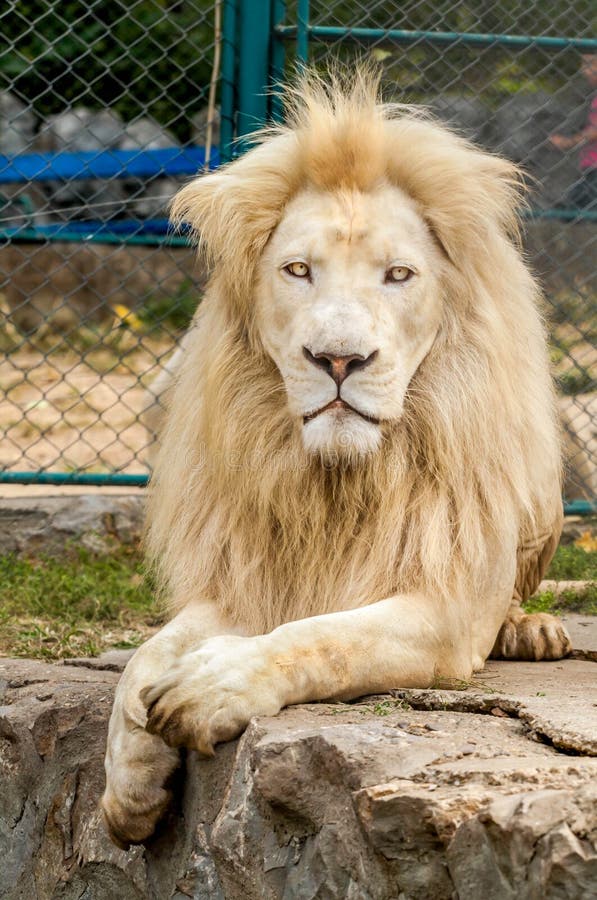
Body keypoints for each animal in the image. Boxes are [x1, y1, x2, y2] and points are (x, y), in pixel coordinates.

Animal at [102, 70, 571, 849]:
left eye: (398, 275)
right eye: (298, 270)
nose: (339, 359)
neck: (340, 480)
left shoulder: (444, 608)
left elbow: (322, 637)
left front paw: (208, 687)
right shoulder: (246, 580)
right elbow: (146, 657)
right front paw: (130, 783)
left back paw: (532, 630)